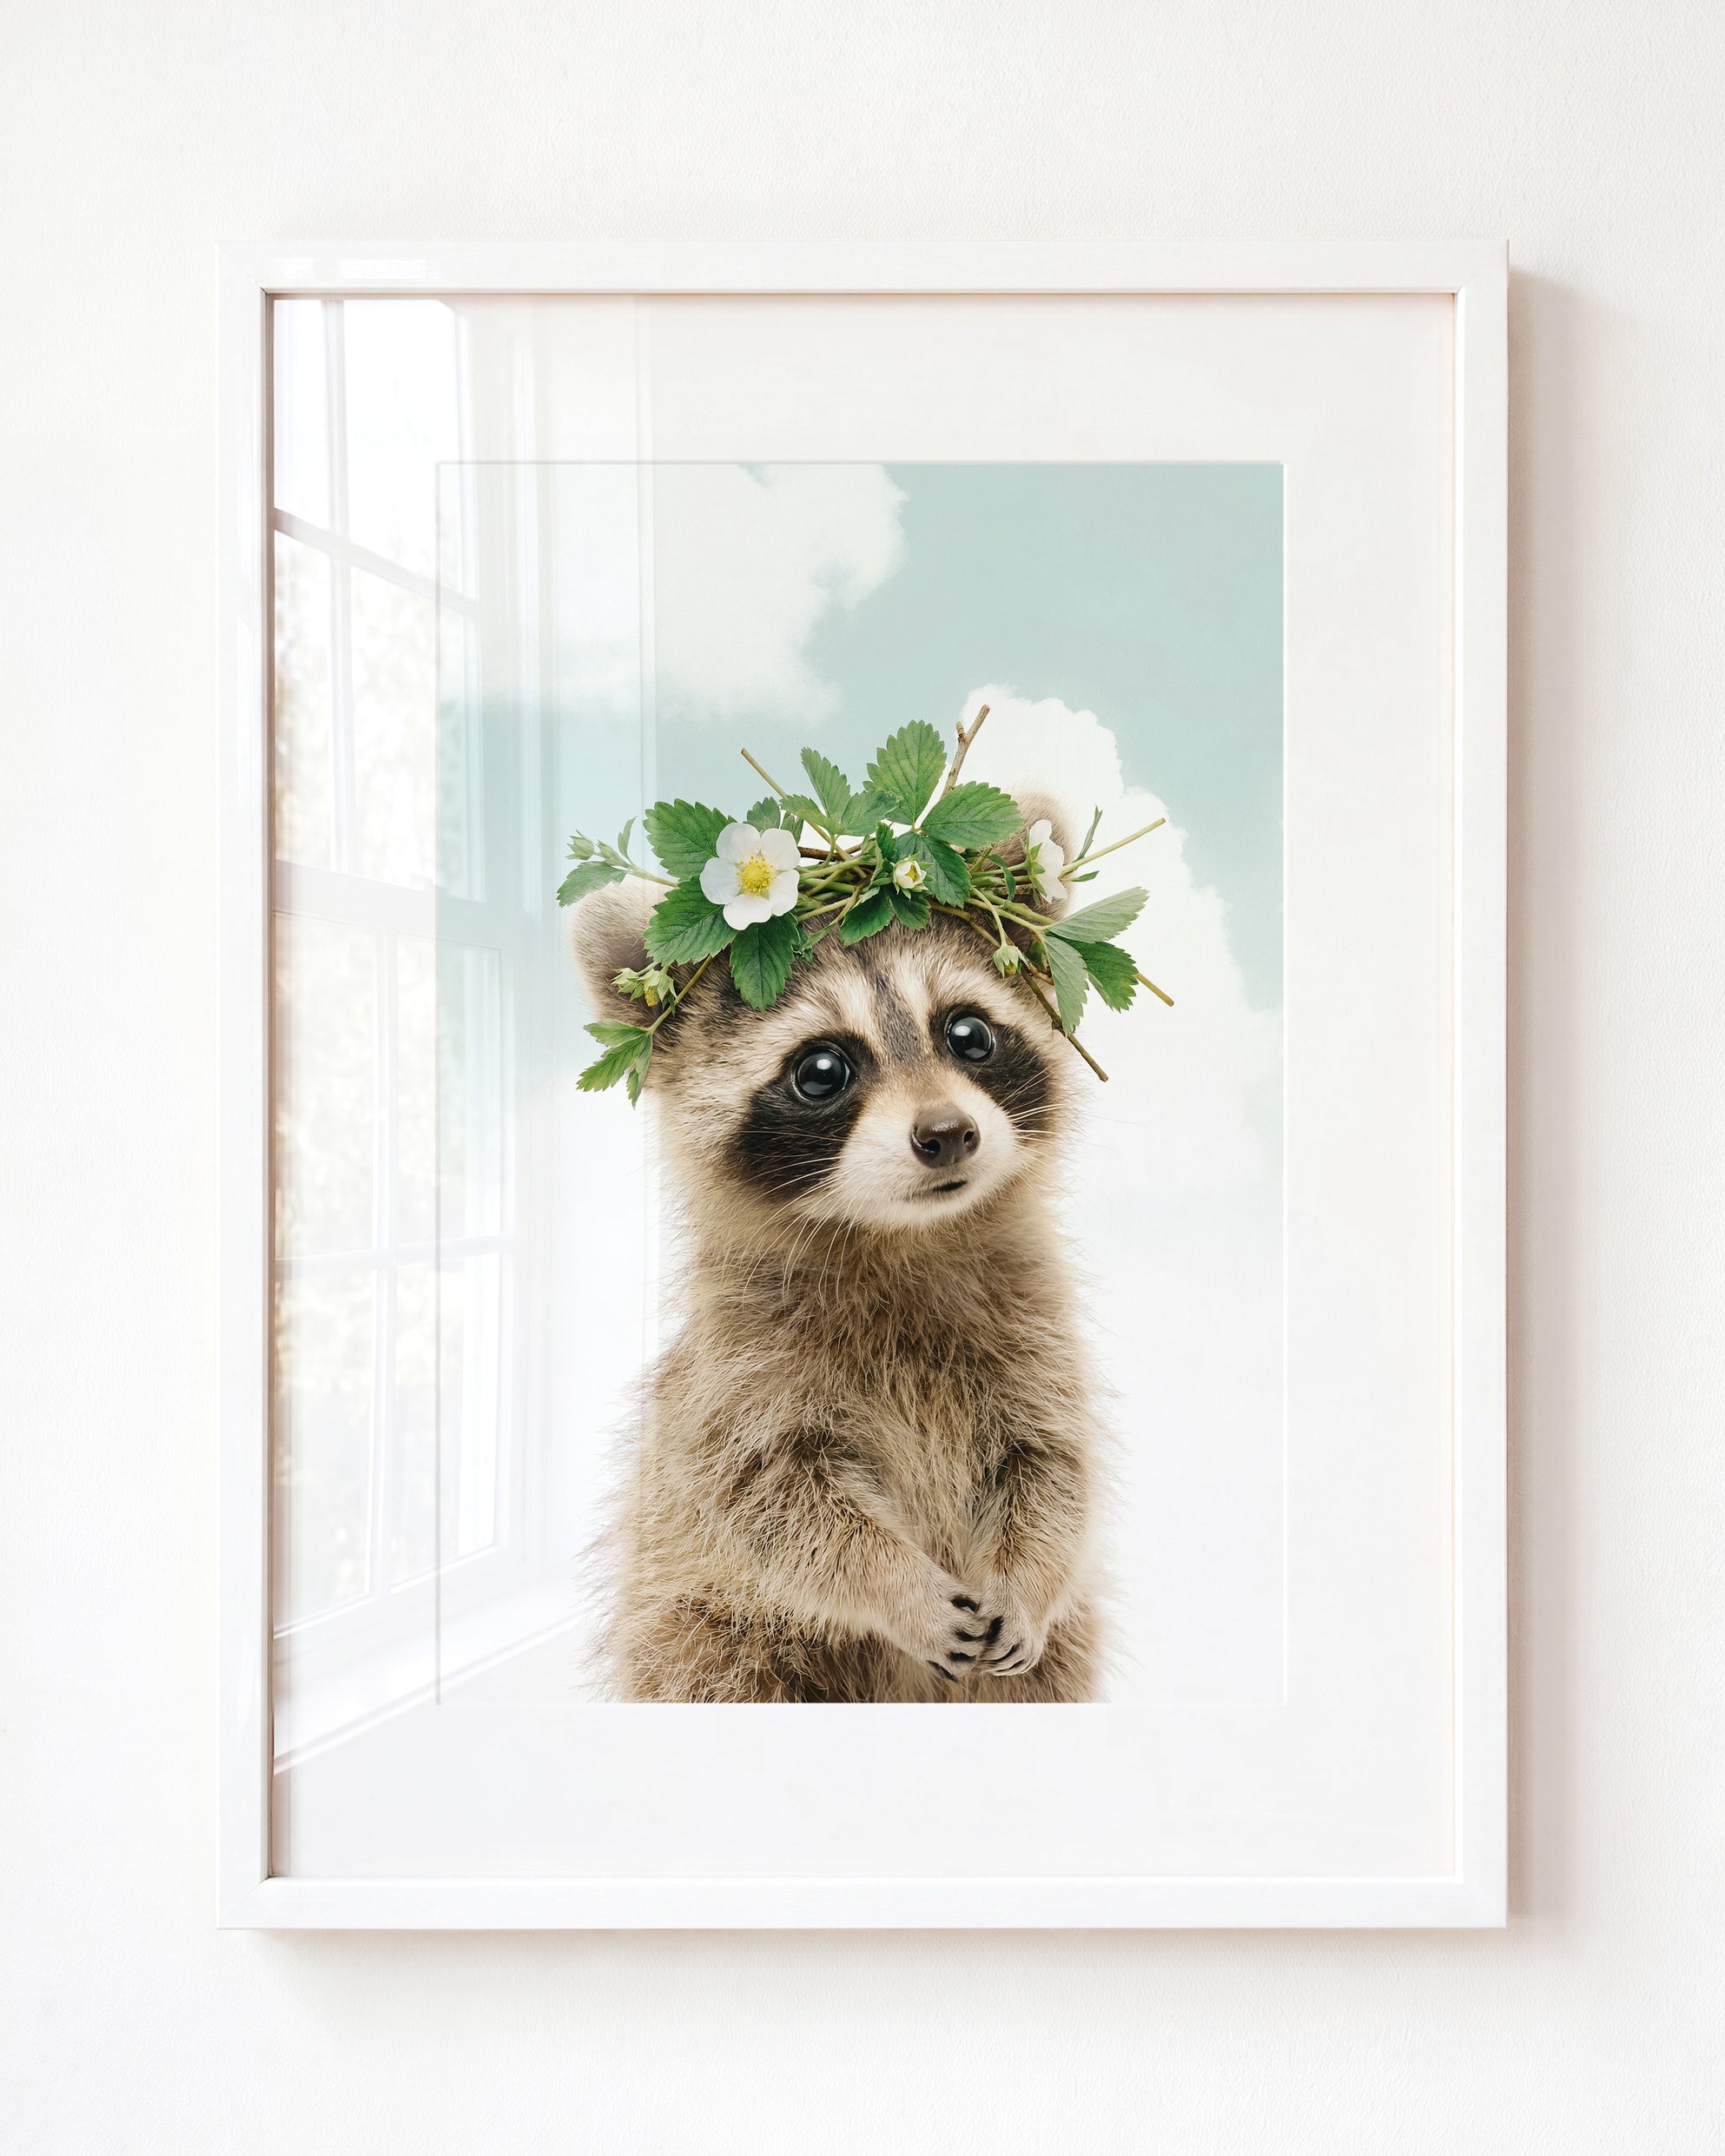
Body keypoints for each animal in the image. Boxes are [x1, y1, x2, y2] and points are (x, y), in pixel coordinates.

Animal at [564, 800, 1106, 1703]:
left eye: (969, 1034)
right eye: (823, 1070)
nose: (948, 1133)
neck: (902, 1238)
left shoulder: (1039, 1335)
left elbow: (1054, 1467)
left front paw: (1027, 1579)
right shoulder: (736, 1377)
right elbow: (774, 1505)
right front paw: (896, 1586)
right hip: (703, 1630)